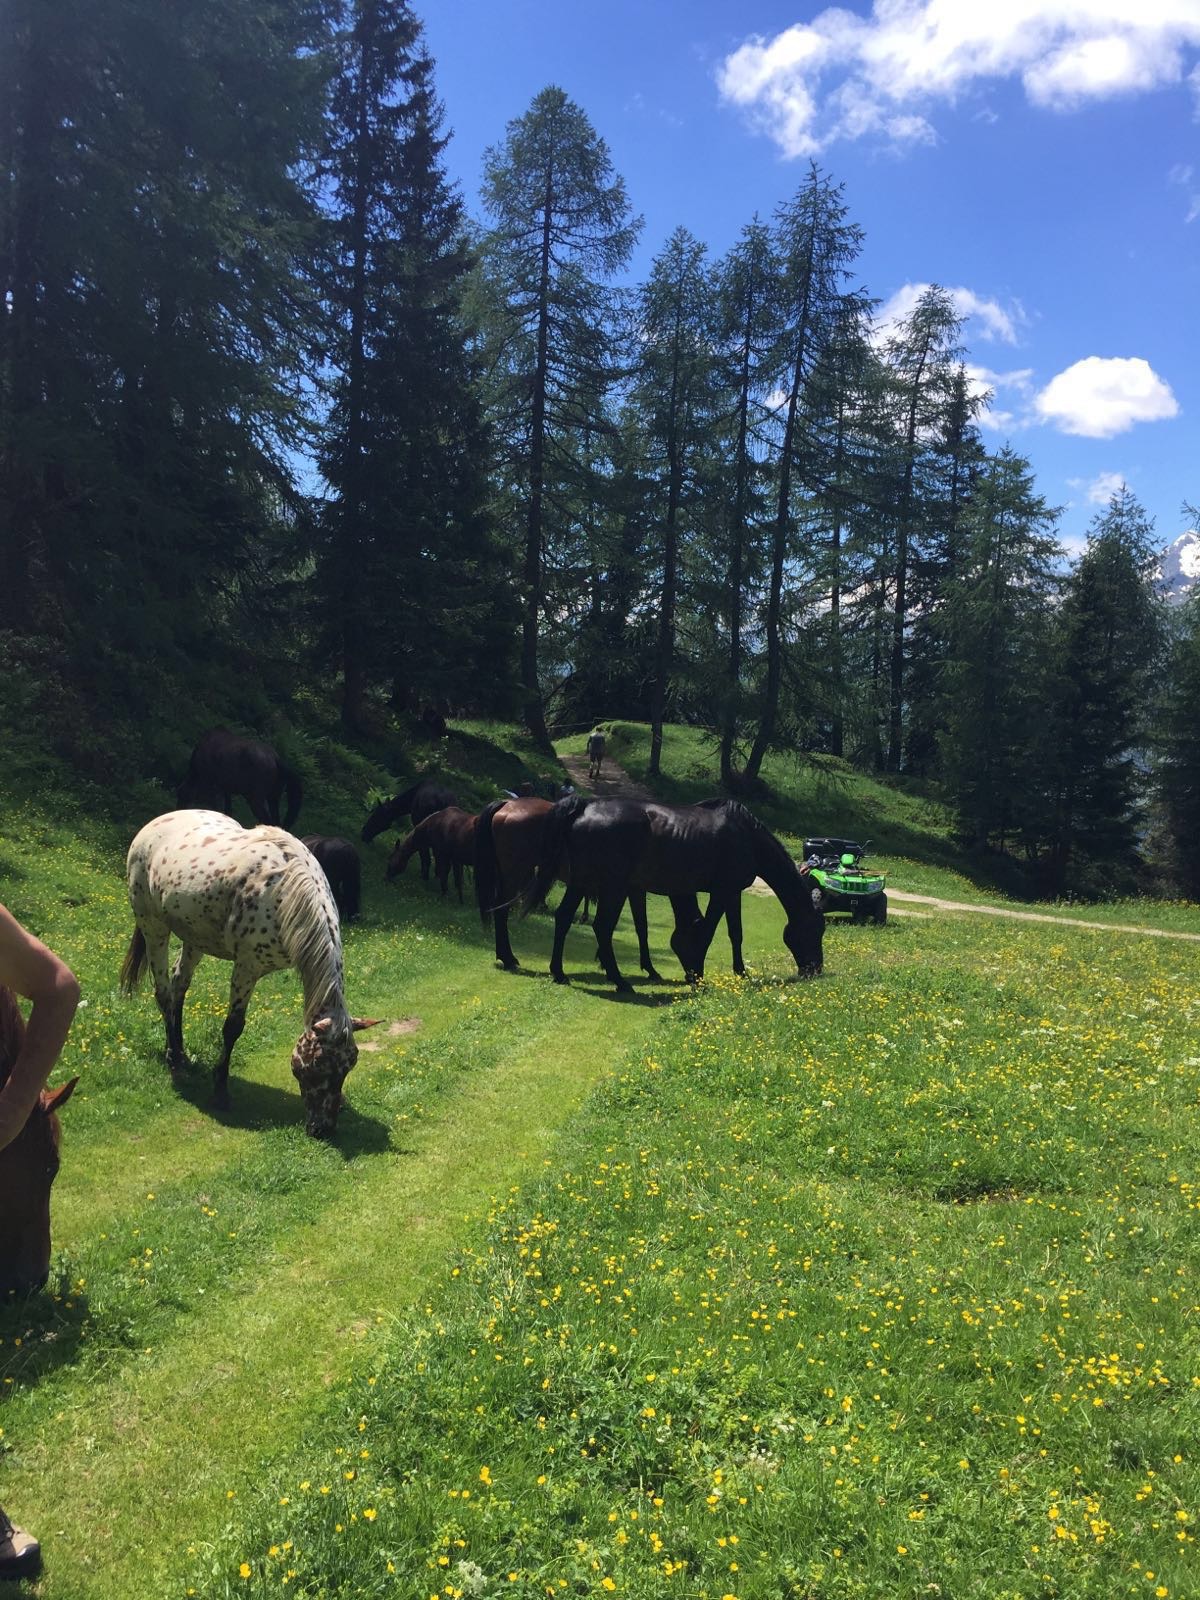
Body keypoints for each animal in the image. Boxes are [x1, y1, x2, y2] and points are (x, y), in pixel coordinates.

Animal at [120, 811, 379, 1138]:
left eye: (349, 1065)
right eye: (318, 1064)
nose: (323, 1129)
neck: (286, 892)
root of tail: (153, 825)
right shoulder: (247, 967)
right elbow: (233, 1027)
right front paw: (220, 1091)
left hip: (194, 938)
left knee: (180, 986)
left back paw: (181, 1053)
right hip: (153, 927)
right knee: (164, 993)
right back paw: (175, 1063)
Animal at [522, 796, 825, 992]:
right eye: (814, 930)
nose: (815, 969)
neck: (746, 836)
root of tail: (584, 807)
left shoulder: (732, 892)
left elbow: (735, 933)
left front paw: (739, 972)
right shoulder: (722, 891)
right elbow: (708, 931)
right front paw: (697, 975)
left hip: (581, 883)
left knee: (563, 918)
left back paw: (559, 972)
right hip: (613, 888)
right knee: (602, 928)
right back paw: (619, 981)